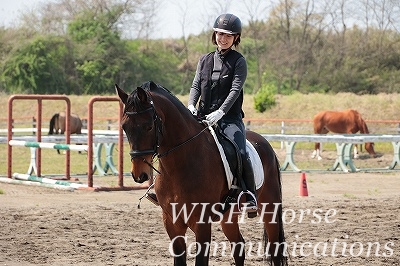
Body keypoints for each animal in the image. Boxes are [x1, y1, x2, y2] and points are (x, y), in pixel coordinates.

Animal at [115, 81, 288, 266]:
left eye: (148, 126)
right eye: (124, 127)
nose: (139, 174)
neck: (180, 165)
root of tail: (265, 143)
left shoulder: (202, 223)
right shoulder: (171, 222)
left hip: (270, 209)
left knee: (274, 248)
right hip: (228, 216)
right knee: (239, 246)